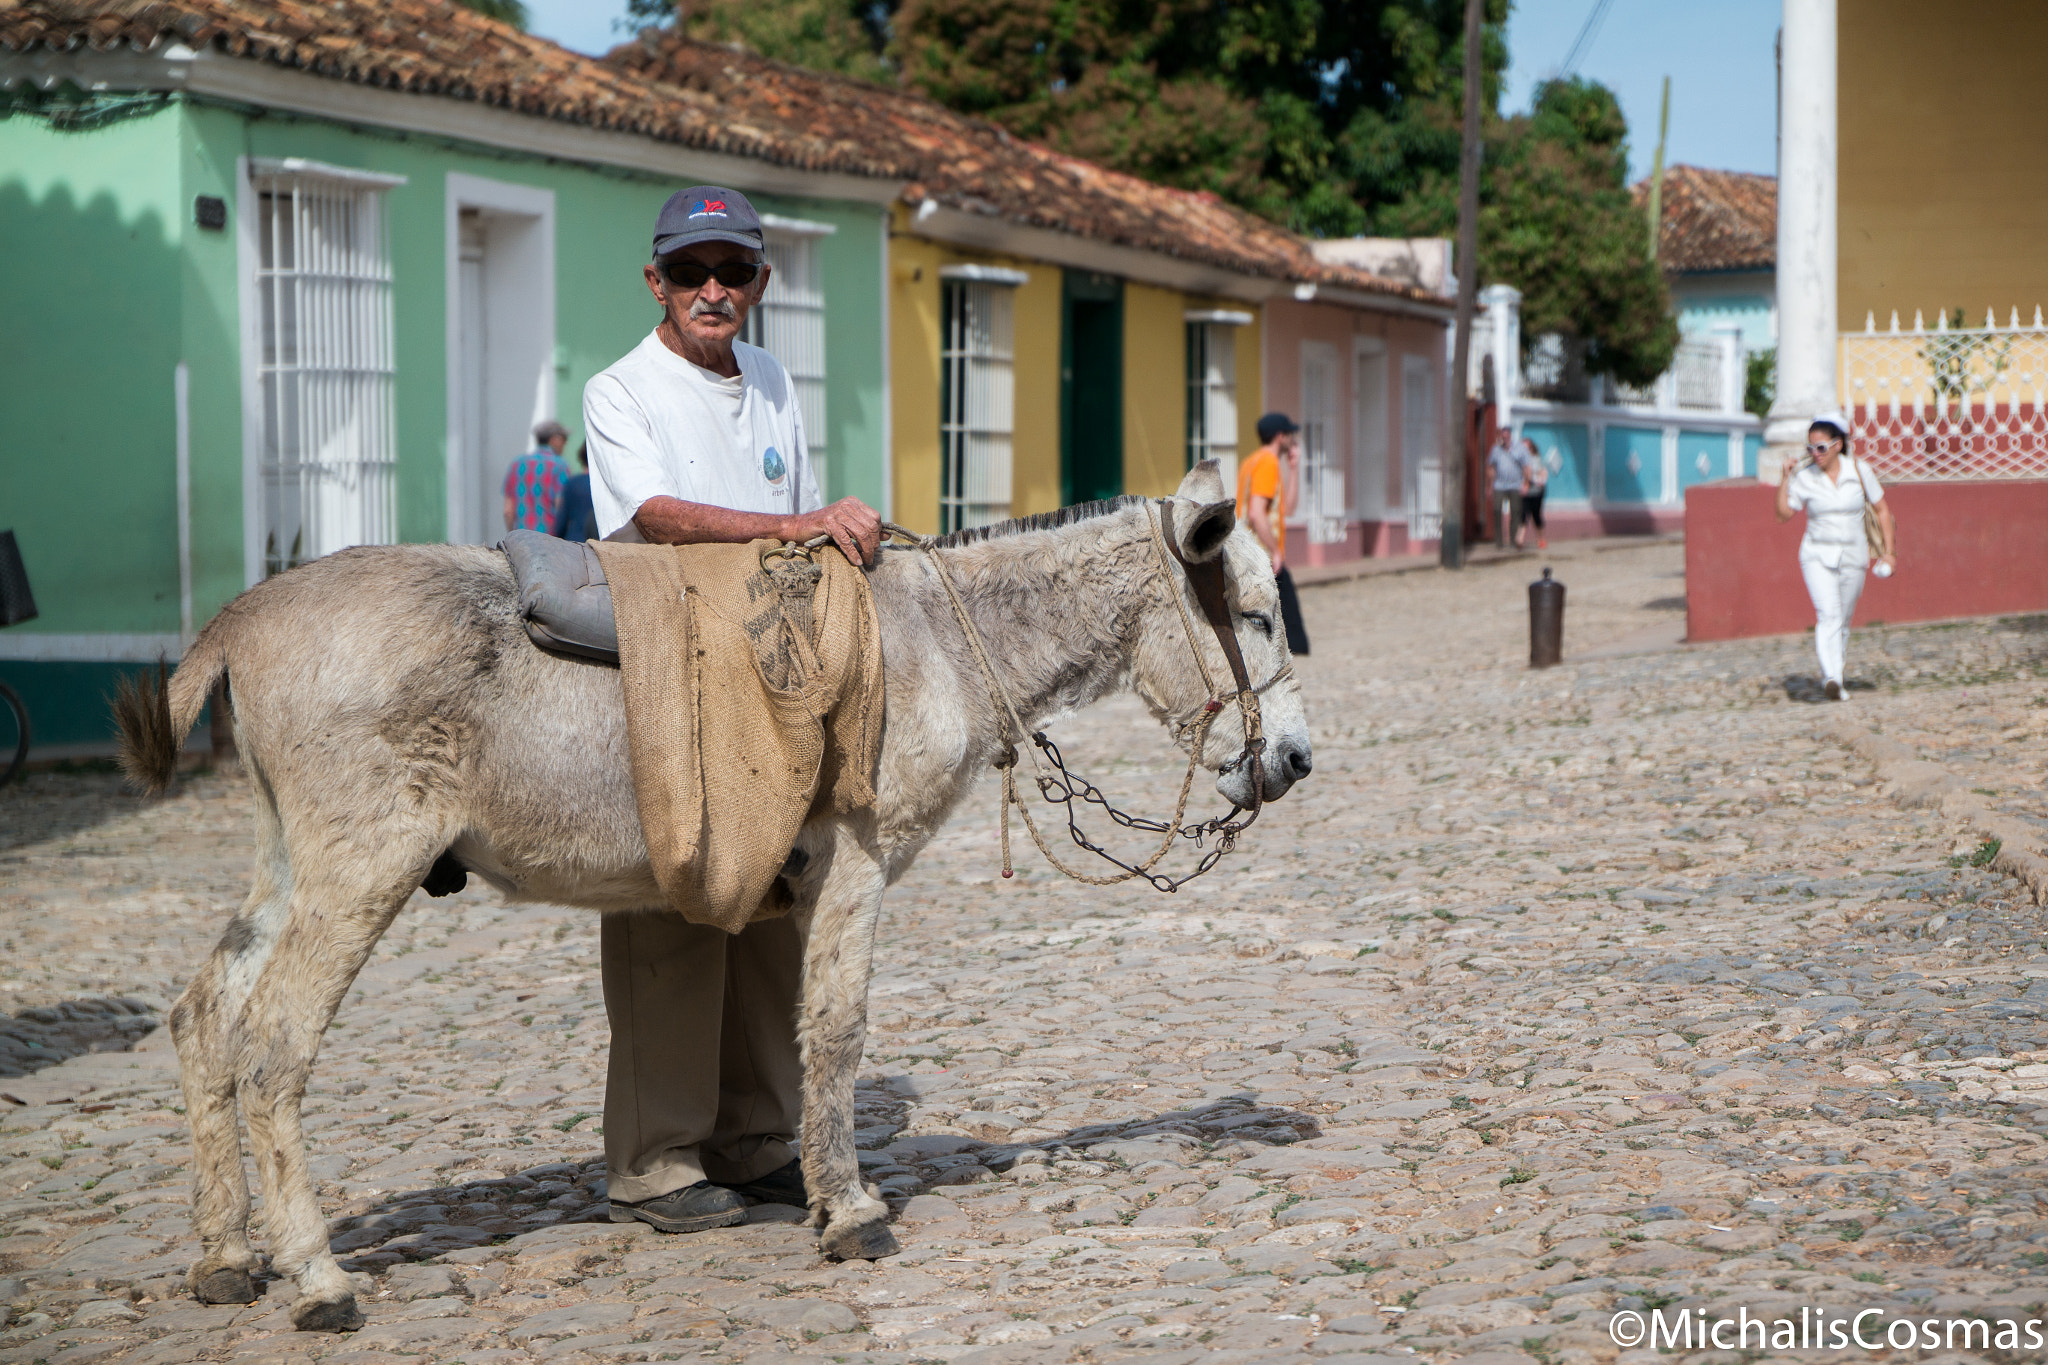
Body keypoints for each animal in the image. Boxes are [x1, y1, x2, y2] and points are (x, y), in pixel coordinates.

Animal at [113, 461, 1313, 1332]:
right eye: (1256, 616)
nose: (1297, 762)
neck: (932, 641)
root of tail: (243, 617)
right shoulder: (861, 860)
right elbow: (838, 1028)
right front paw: (852, 1216)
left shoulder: (798, 880)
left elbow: (790, 1031)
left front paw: (802, 1181)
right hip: (365, 863)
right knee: (273, 1043)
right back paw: (318, 1278)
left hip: (288, 861)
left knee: (203, 1016)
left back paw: (226, 1255)